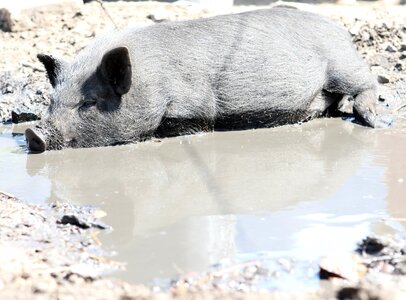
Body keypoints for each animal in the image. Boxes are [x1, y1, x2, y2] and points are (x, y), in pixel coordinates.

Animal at [23, 7, 388, 152]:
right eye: (51, 101)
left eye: (89, 102)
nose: (33, 133)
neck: (153, 81)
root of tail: (341, 30)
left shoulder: (195, 107)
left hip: (342, 65)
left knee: (368, 84)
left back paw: (376, 123)